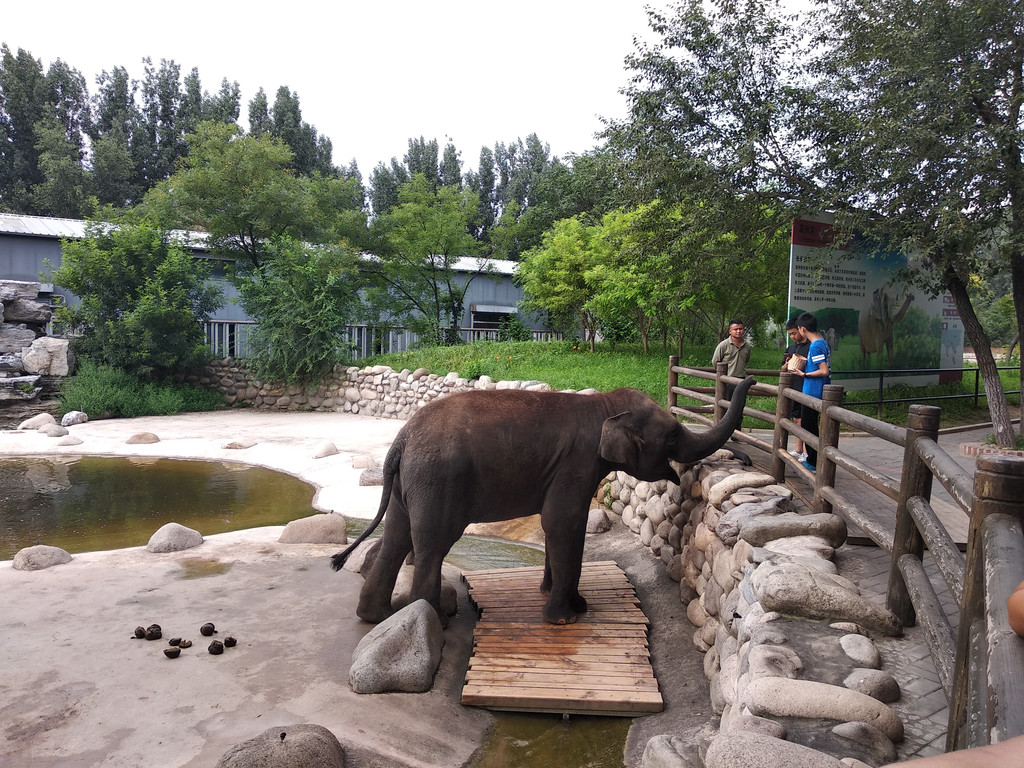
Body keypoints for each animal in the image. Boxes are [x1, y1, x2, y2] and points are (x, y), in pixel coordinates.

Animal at [331, 376, 757, 626]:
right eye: (670, 437)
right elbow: (562, 523)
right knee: (432, 545)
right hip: (438, 480)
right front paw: (566, 618)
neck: (604, 406)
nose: (750, 376)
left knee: (396, 538)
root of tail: (400, 440)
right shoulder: (578, 461)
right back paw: (435, 620)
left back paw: (375, 616)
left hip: (410, 484)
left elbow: (554, 526)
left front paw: (561, 599)